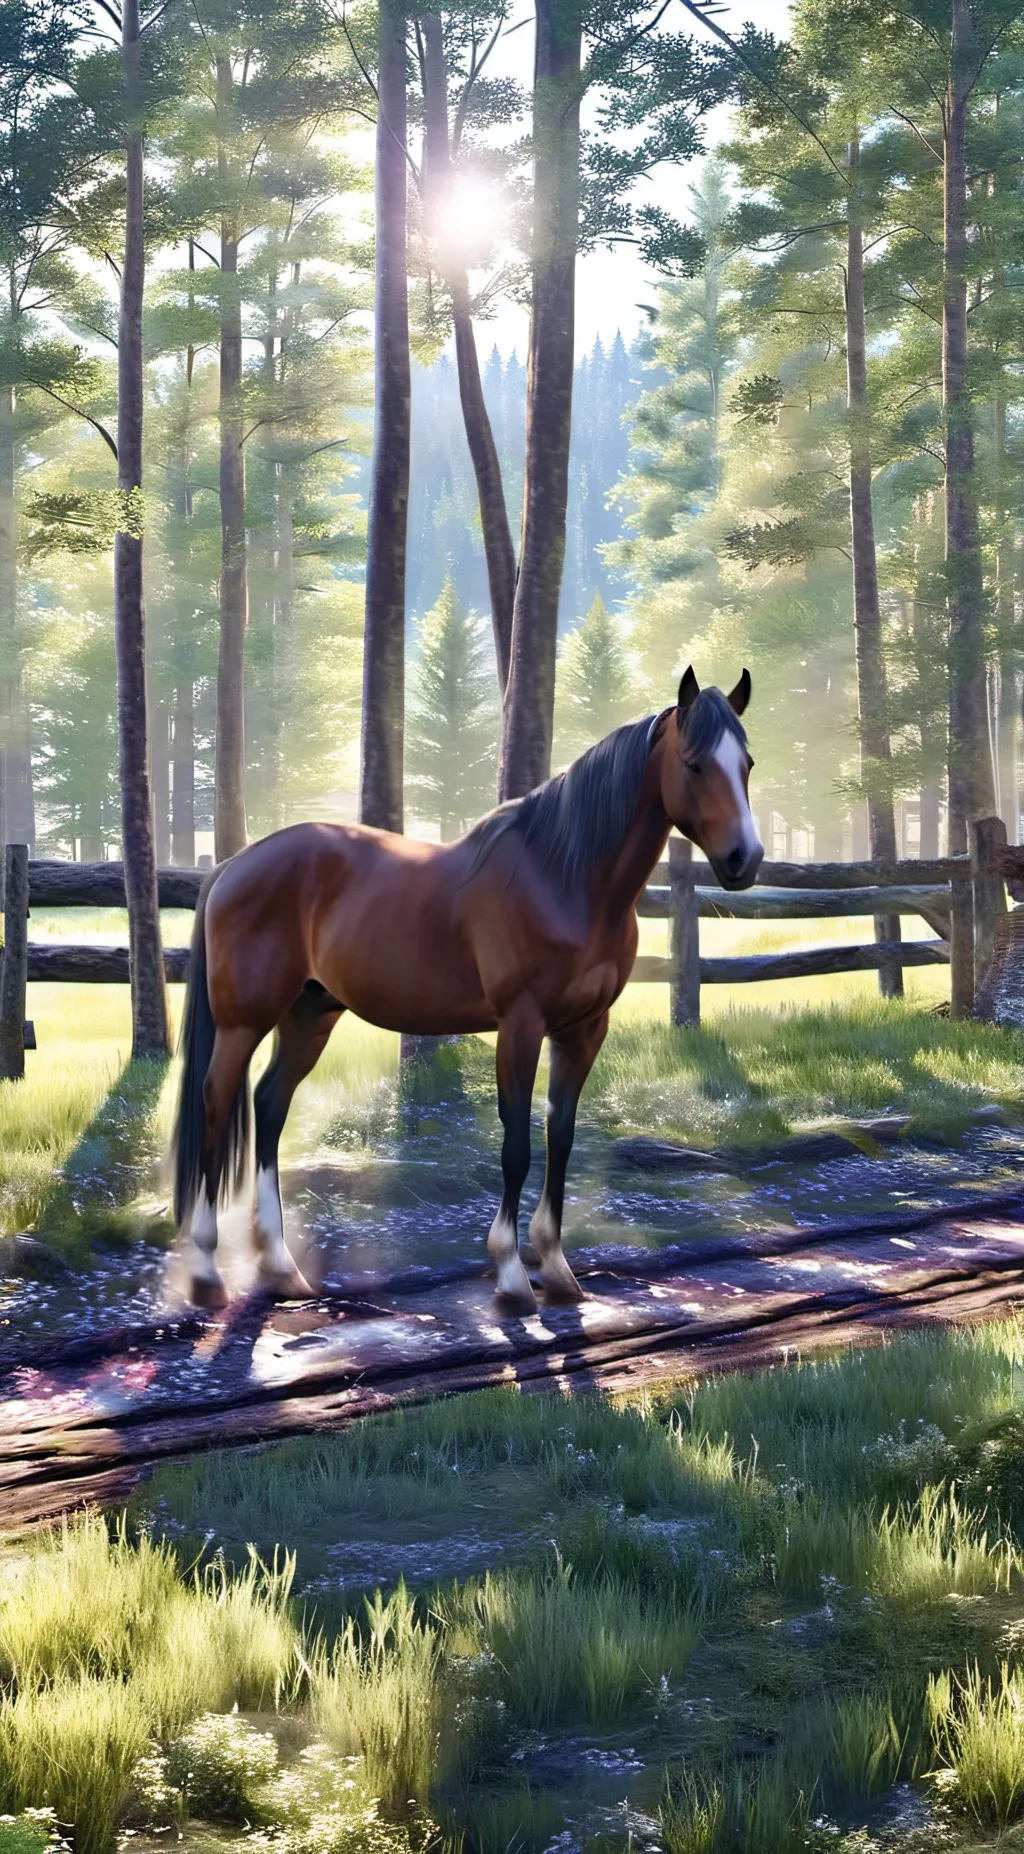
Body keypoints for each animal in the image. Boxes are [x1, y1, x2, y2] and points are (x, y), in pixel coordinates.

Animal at [171, 666, 763, 1313]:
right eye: (695, 764)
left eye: (747, 763)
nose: (746, 859)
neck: (563, 877)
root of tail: (234, 864)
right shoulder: (520, 1025)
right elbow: (516, 1144)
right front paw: (510, 1273)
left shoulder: (583, 1030)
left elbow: (561, 1136)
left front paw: (556, 1267)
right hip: (244, 1023)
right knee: (216, 1102)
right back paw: (206, 1270)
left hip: (310, 1014)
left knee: (270, 1104)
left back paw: (281, 1267)